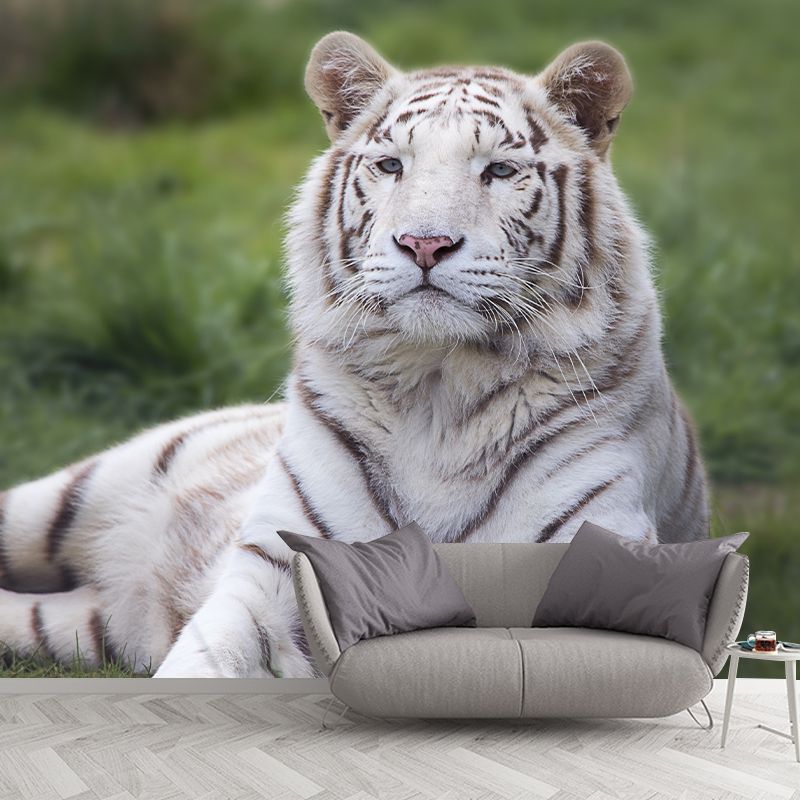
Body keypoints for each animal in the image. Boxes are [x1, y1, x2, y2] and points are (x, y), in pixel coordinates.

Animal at [0, 32, 709, 678]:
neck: (438, 389)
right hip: (74, 493)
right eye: (392, 165)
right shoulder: (278, 568)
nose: (424, 244)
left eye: (499, 171)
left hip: (82, 623)